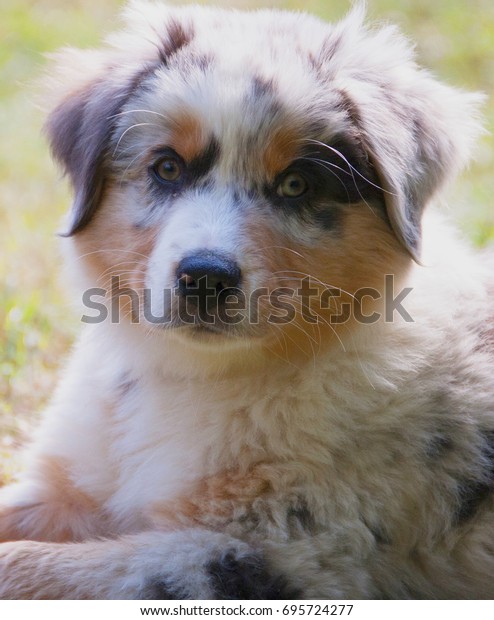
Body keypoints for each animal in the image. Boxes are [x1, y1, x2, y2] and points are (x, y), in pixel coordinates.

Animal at [0, 1, 494, 600]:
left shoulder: (288, 553)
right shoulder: (77, 484)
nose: (205, 277)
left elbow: (36, 566)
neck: (197, 374)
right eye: (168, 167)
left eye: (297, 185)